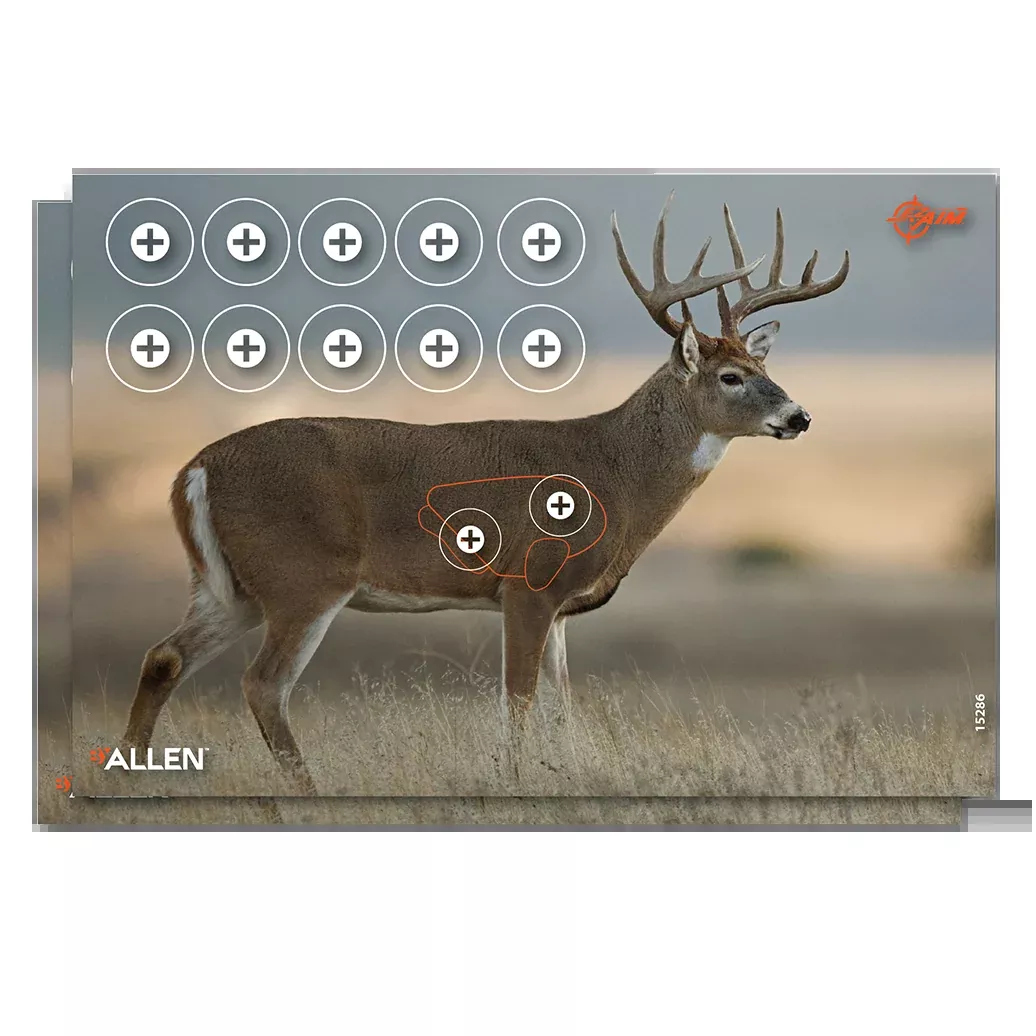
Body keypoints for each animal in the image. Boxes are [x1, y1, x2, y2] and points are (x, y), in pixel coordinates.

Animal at [121, 193, 849, 793]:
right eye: (731, 376)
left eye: (763, 365)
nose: (800, 417)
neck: (615, 472)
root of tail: (194, 469)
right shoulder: (528, 583)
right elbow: (519, 699)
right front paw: (514, 782)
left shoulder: (560, 607)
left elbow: (561, 705)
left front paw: (566, 776)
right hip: (304, 577)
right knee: (262, 684)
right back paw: (307, 793)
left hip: (232, 587)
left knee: (163, 657)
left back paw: (129, 778)